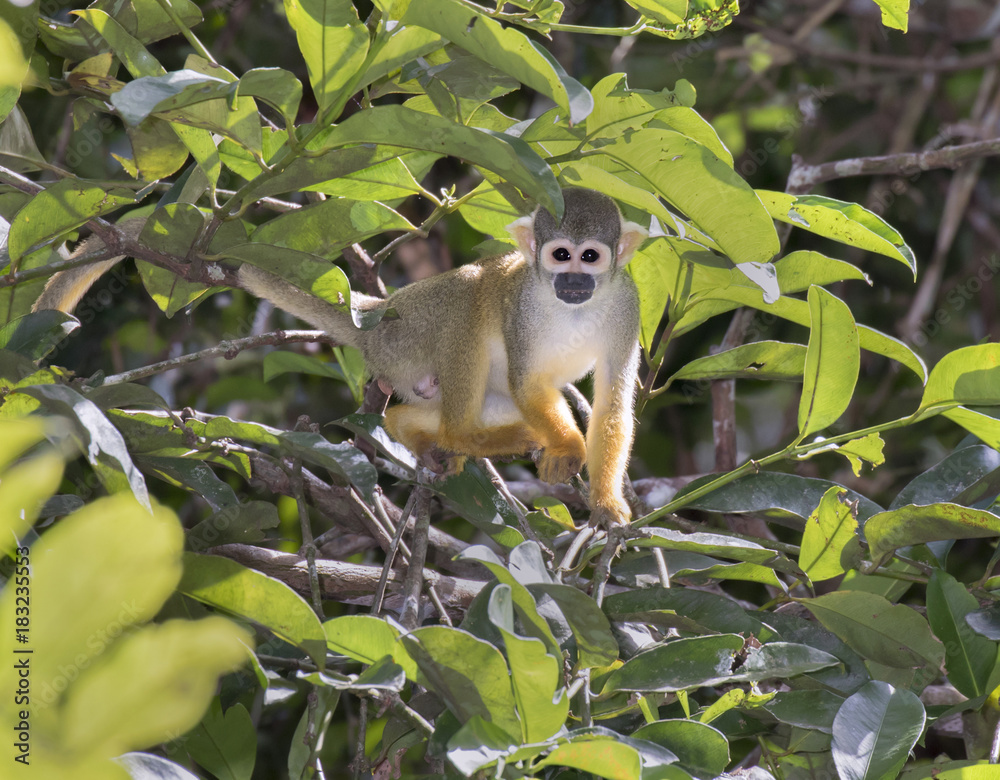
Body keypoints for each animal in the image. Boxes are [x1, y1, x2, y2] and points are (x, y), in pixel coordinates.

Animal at [238, 188, 648, 525]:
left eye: (590, 257)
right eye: (561, 255)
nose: (573, 281)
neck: (573, 308)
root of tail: (380, 313)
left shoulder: (628, 305)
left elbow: (612, 403)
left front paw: (606, 502)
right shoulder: (521, 307)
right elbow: (527, 383)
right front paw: (568, 447)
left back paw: (410, 428)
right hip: (407, 336)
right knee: (469, 300)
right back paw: (465, 435)